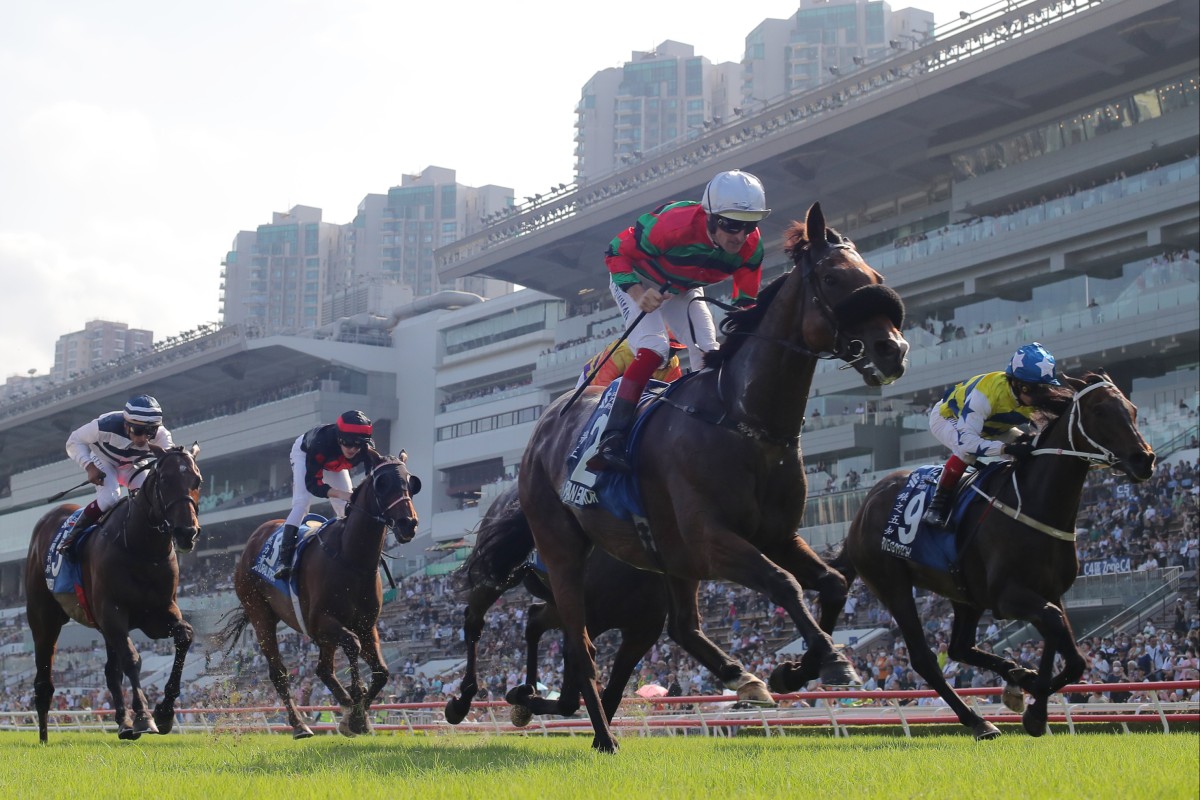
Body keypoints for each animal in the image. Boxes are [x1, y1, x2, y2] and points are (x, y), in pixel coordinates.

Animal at [25, 443, 204, 743]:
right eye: (165, 480)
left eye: (197, 481)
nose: (186, 532)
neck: (141, 546)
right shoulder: (113, 612)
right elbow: (132, 659)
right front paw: (144, 716)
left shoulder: (158, 613)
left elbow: (184, 636)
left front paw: (164, 712)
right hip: (44, 619)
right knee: (44, 679)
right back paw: (43, 737)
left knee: (110, 672)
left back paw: (123, 722)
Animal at [218, 448, 420, 743]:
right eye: (382, 484)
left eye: (410, 482)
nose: (408, 524)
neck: (351, 558)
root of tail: (255, 537)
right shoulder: (322, 620)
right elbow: (352, 645)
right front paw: (355, 710)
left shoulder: (366, 624)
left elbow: (382, 672)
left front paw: (357, 715)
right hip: (259, 613)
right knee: (279, 672)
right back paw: (300, 725)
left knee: (322, 669)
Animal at [516, 203, 907, 753]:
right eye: (833, 278)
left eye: (875, 277)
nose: (892, 349)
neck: (743, 421)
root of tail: (548, 422)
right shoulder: (711, 540)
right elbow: (784, 583)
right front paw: (831, 661)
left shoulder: (776, 535)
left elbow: (831, 582)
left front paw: (795, 669)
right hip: (563, 551)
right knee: (579, 639)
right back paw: (594, 731)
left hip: (667, 559)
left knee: (679, 627)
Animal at [835, 371, 1152, 743]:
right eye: (1100, 410)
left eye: (1132, 409)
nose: (1144, 459)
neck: (1033, 503)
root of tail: (862, 510)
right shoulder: (1007, 596)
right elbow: (1058, 633)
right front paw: (1033, 701)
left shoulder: (1049, 591)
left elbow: (1063, 643)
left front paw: (1031, 696)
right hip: (892, 585)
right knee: (925, 658)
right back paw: (977, 720)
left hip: (963, 593)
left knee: (959, 647)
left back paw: (1012, 676)